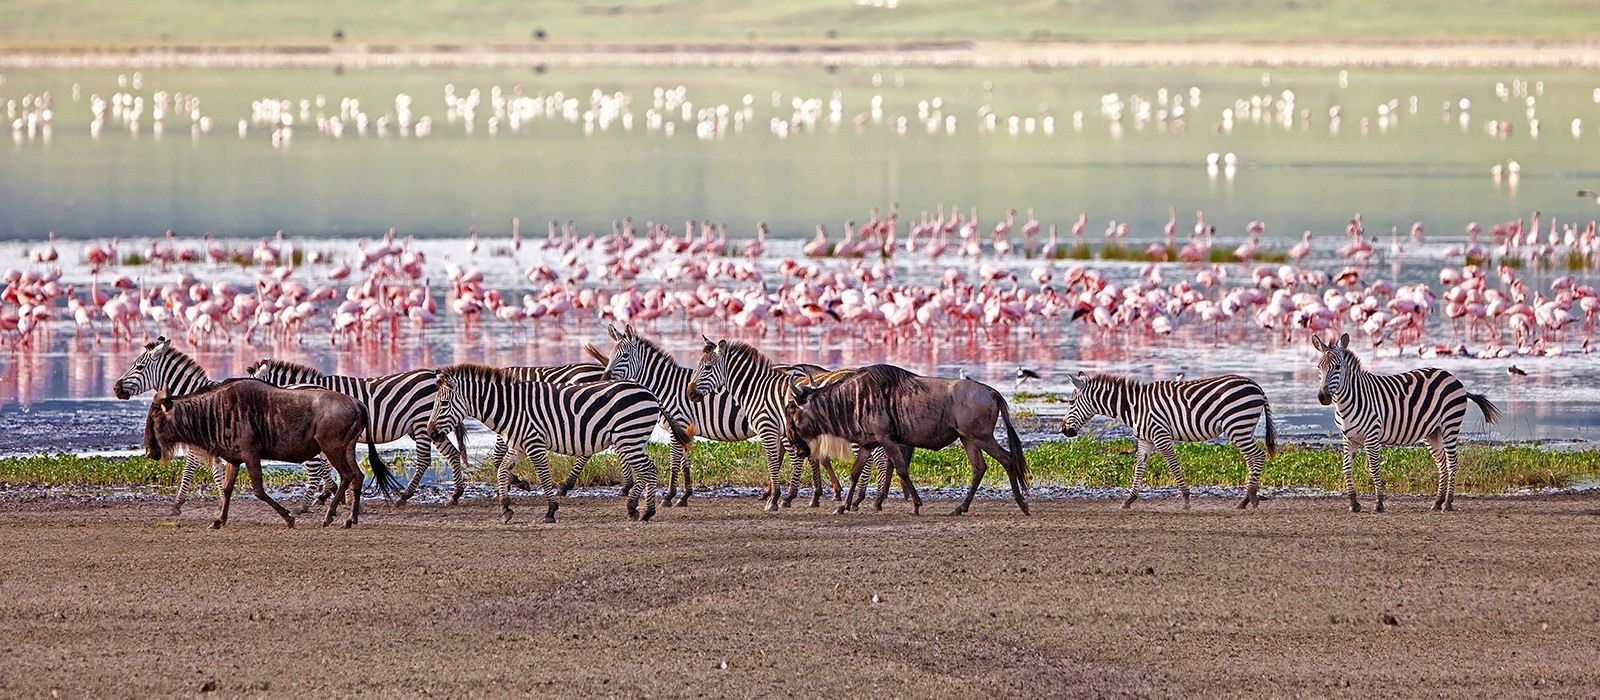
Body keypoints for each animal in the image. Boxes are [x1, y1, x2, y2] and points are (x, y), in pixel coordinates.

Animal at [113, 336, 332, 515]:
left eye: (139, 367)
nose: (116, 388)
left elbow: (192, 470)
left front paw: (183, 504)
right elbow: (214, 471)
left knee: (316, 469)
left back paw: (304, 507)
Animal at [246, 359, 467, 506]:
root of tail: (434, 374)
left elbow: (325, 466)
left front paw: (330, 493)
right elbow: (327, 465)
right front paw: (332, 492)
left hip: (422, 423)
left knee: (423, 460)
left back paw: (405, 496)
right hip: (430, 427)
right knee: (452, 454)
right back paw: (456, 494)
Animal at [424, 363, 677, 523]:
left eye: (443, 404)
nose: (430, 432)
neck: (512, 407)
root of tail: (649, 392)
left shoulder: (534, 442)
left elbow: (544, 476)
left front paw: (550, 511)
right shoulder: (518, 445)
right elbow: (502, 471)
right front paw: (506, 508)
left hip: (629, 437)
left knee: (649, 470)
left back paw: (644, 511)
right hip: (632, 439)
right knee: (647, 470)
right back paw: (636, 509)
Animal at [1061, 371, 1277, 509]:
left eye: (1071, 403)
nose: (1064, 431)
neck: (1134, 407)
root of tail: (1256, 386)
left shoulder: (1160, 436)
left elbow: (1173, 465)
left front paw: (1186, 500)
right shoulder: (1145, 440)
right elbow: (1139, 468)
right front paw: (1129, 500)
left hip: (1237, 425)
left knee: (1258, 456)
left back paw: (1250, 498)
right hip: (1242, 428)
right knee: (1251, 458)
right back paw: (1245, 500)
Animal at [1312, 332, 1502, 512]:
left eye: (1337, 367)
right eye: (1319, 367)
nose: (1323, 397)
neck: (1348, 402)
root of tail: (1452, 377)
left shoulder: (1372, 436)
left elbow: (1373, 468)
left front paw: (1379, 503)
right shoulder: (1348, 438)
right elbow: (1346, 468)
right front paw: (1353, 503)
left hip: (1450, 425)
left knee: (1452, 463)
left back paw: (1447, 503)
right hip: (1432, 432)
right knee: (1442, 464)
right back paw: (1437, 502)